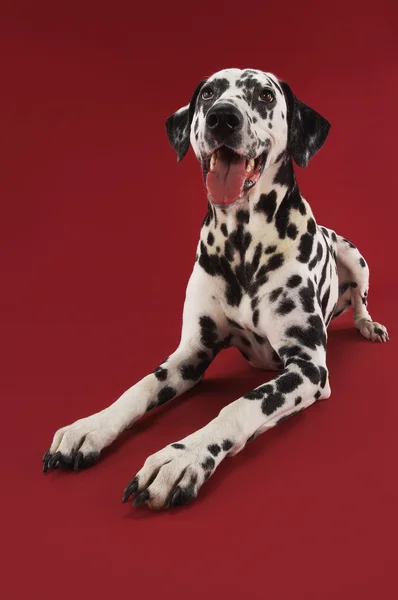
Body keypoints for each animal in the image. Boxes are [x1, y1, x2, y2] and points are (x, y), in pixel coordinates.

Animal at [43, 70, 388, 510]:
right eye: (208, 92)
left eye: (265, 94)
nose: (222, 117)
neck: (243, 243)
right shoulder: (192, 353)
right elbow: (139, 388)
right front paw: (91, 426)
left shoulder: (308, 368)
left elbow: (240, 405)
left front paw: (182, 458)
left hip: (353, 255)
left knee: (360, 299)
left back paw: (369, 325)